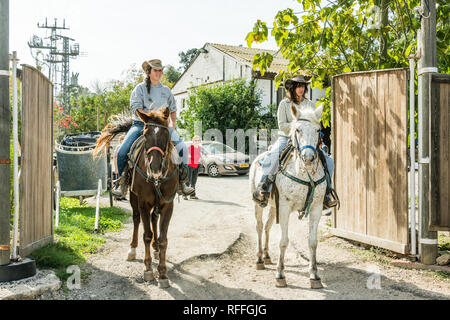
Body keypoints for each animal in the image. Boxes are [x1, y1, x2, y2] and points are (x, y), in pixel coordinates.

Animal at [94, 107, 178, 288]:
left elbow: (163, 239)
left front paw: (163, 273)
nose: (154, 166)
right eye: (145, 135)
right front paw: (148, 270)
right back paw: (132, 249)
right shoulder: (143, 202)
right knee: (136, 219)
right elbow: (146, 234)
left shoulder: (167, 204)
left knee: (154, 220)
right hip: (134, 198)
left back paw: (155, 248)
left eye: (166, 134)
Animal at [250, 104, 326, 288]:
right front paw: (280, 275)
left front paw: (314, 275)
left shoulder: (317, 208)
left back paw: (267, 256)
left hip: (273, 206)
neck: (304, 173)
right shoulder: (284, 207)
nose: (308, 157)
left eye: (318, 130)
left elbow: (312, 242)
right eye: (297, 129)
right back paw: (259, 259)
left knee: (267, 227)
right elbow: (284, 241)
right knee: (259, 227)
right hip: (258, 204)